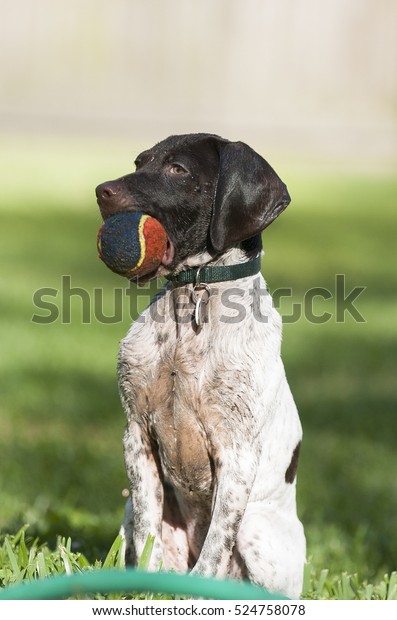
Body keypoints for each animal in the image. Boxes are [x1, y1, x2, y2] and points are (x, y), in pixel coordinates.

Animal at [96, 133, 306, 600]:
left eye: (178, 170)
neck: (192, 295)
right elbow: (148, 534)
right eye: (139, 162)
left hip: (255, 528)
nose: (101, 191)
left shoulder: (238, 453)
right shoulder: (136, 434)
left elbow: (214, 552)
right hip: (128, 507)